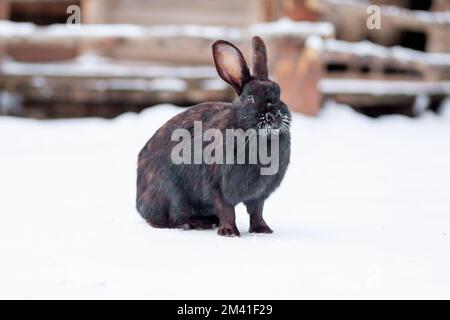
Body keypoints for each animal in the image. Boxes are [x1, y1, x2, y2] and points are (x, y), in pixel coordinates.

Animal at [137, 36, 290, 238]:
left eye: (279, 94)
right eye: (250, 98)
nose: (274, 116)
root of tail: (139, 202)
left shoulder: (259, 195)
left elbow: (257, 212)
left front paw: (263, 230)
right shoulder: (217, 187)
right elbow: (227, 210)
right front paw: (229, 233)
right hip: (172, 194)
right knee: (164, 219)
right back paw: (193, 223)